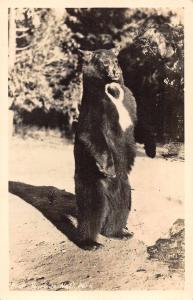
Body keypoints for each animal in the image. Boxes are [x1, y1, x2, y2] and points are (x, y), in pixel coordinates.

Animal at [74, 47, 137, 250]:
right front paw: (109, 167)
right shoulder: (95, 106)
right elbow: (91, 133)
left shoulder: (129, 102)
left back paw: (119, 233)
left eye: (116, 60)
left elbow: (130, 135)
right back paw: (90, 242)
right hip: (91, 181)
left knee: (122, 206)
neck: (111, 90)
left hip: (125, 186)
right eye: (104, 63)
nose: (116, 72)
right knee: (92, 210)